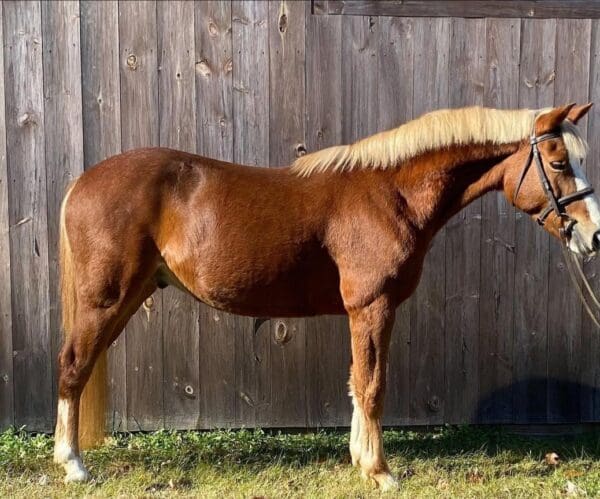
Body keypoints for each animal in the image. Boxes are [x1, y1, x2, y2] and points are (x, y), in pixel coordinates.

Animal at [54, 101, 596, 488]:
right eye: (558, 162)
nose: (592, 236)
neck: (391, 193)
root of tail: (82, 181)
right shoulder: (372, 306)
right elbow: (373, 386)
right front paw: (380, 472)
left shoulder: (364, 312)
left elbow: (358, 382)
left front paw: (360, 460)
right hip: (106, 300)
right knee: (74, 367)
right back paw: (73, 465)